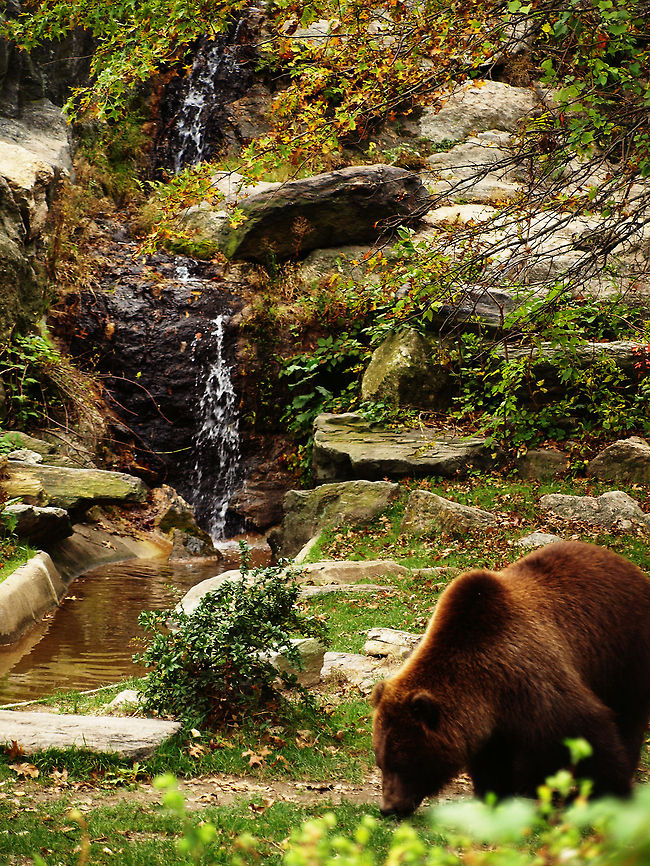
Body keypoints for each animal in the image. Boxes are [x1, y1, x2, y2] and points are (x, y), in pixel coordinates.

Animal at [371, 540, 650, 816]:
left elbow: (588, 731)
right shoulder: (491, 722)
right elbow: (492, 764)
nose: (388, 807)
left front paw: (610, 793)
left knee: (629, 715)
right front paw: (495, 797)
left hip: (624, 651)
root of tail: (628, 564)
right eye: (381, 760)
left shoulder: (532, 678)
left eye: (403, 761)